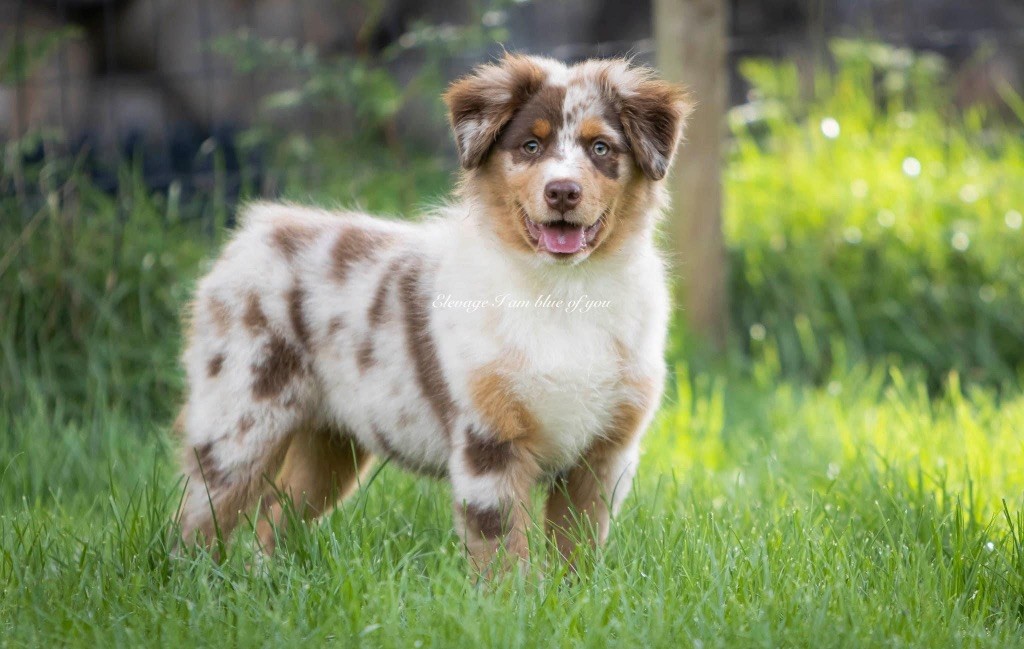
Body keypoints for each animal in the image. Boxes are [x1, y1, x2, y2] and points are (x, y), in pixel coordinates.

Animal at [176, 55, 692, 569]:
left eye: (601, 147)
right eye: (530, 145)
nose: (562, 192)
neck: (563, 292)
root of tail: (255, 230)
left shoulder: (604, 454)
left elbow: (576, 551)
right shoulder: (489, 442)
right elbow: (505, 557)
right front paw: (518, 592)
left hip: (330, 446)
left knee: (275, 516)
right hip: (240, 419)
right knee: (199, 518)